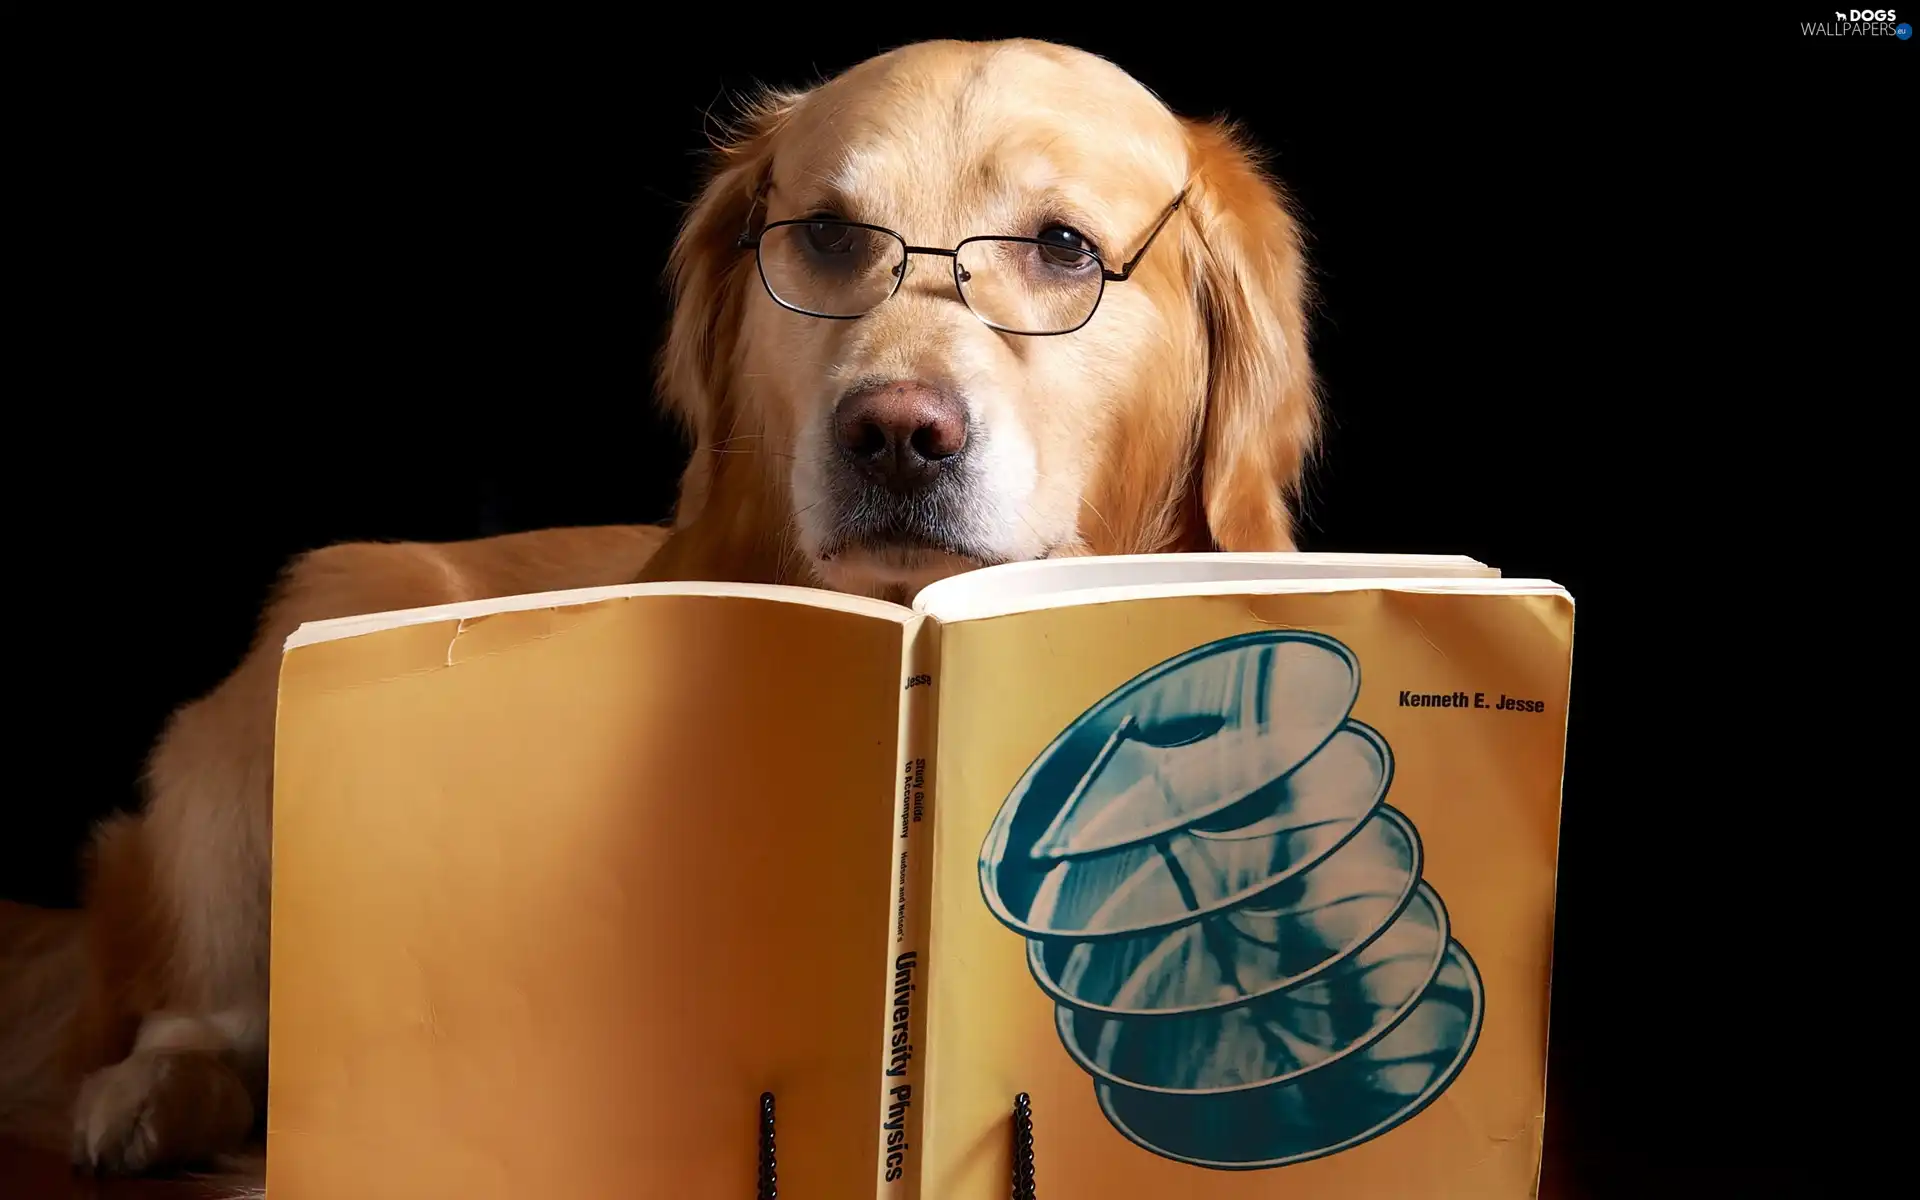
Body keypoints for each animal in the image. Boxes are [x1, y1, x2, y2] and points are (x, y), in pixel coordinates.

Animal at [0, 35, 1320, 1182]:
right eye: (829, 234)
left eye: (1062, 249)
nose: (896, 433)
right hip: (301, 656)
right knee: (196, 1015)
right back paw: (152, 1100)